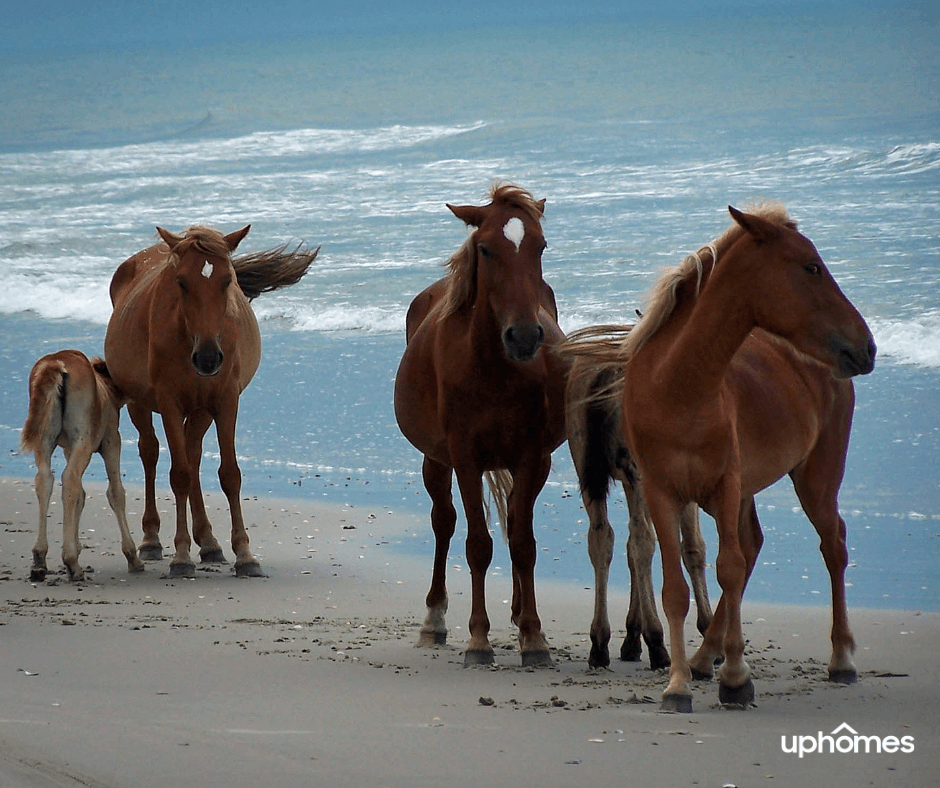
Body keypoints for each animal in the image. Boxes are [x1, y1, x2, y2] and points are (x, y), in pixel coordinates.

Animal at [20, 350, 144, 580]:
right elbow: (116, 492)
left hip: (44, 438)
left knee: (45, 479)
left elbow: (80, 495)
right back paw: (71, 562)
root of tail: (55, 364)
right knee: (69, 478)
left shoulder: (68, 447)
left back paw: (40, 559)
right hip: (83, 439)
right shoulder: (111, 439)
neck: (106, 388)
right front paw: (133, 557)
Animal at [105, 225, 320, 576]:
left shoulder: (225, 399)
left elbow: (229, 474)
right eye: (181, 282)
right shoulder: (168, 401)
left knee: (192, 455)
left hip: (201, 410)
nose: (208, 358)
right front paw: (181, 556)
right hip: (140, 403)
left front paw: (244, 554)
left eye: (227, 280)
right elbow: (178, 475)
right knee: (150, 452)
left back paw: (208, 543)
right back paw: (152, 540)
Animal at [394, 183, 568, 664]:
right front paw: (477, 638)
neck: (493, 367)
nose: (524, 337)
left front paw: (533, 636)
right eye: (486, 249)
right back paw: (434, 621)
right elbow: (477, 545)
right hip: (435, 460)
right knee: (444, 521)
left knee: (514, 522)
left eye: (540, 246)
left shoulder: (530, 455)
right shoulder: (465, 457)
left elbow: (523, 543)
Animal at [560, 328, 708, 672]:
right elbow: (692, 547)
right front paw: (708, 628)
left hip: (587, 466)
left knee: (602, 537)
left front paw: (630, 636)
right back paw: (657, 642)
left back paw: (600, 642)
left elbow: (630, 549)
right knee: (643, 539)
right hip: (640, 474)